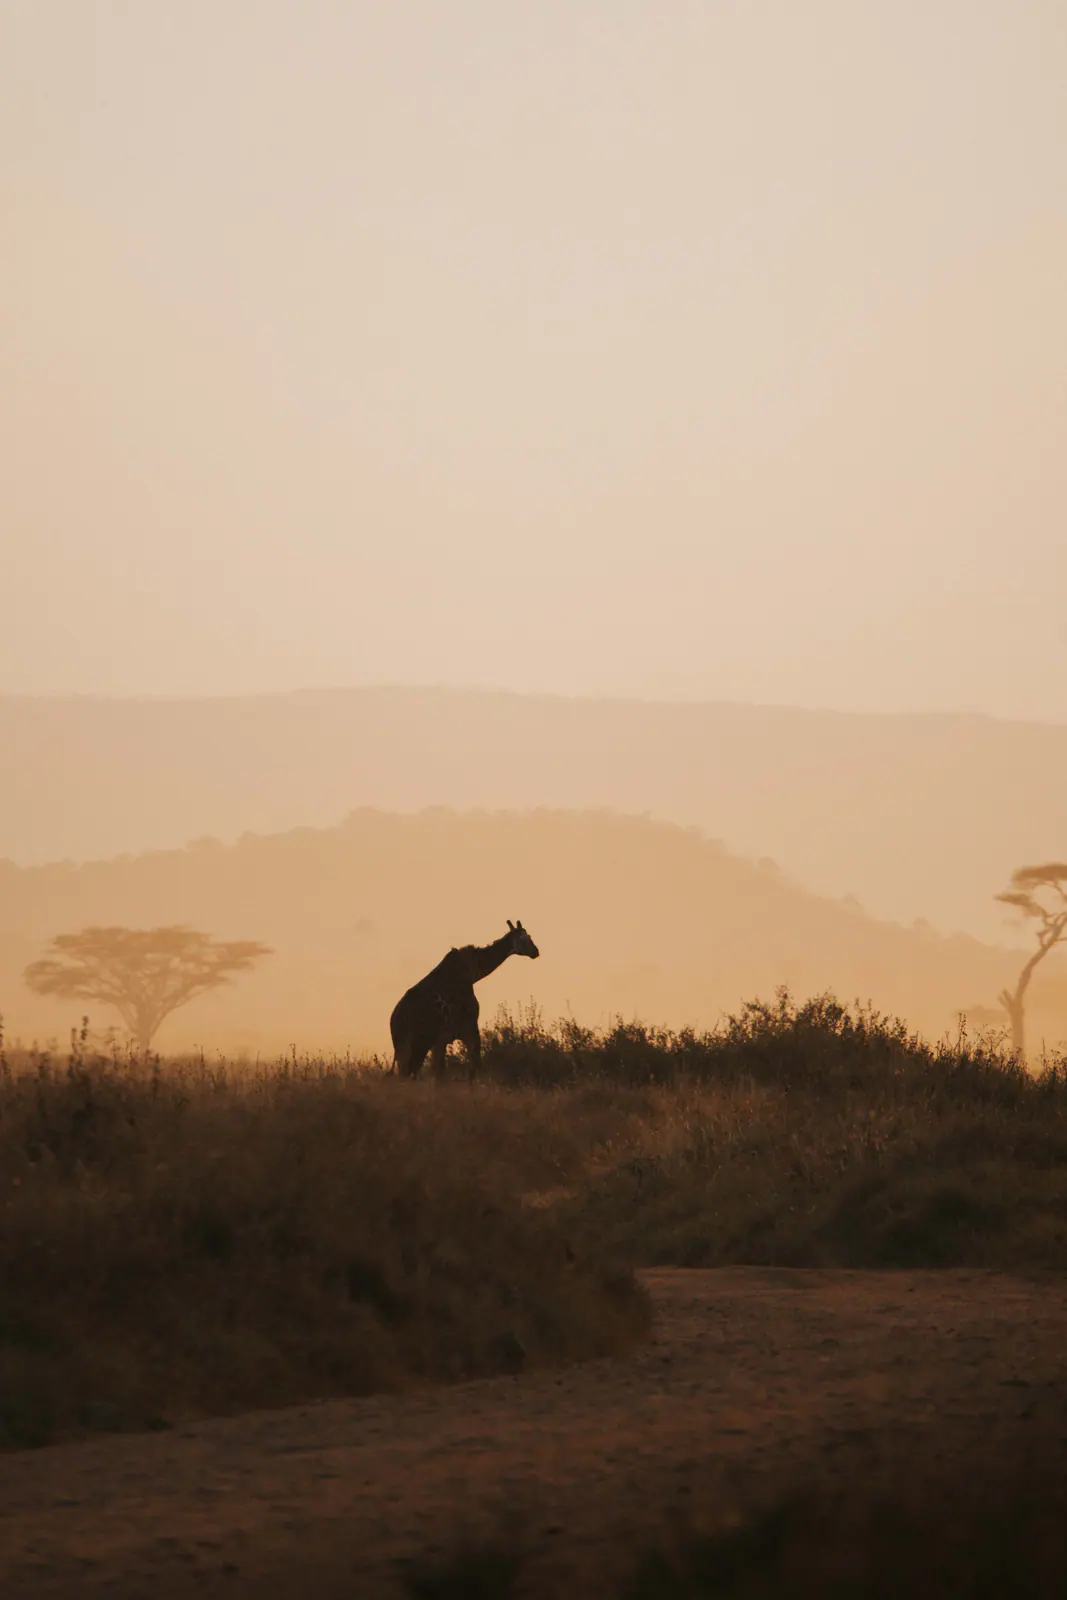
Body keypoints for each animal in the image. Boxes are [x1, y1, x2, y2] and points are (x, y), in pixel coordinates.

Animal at [390, 920, 540, 1081]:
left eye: (529, 936)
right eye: (525, 938)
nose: (535, 951)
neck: (473, 973)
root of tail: (394, 1022)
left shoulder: (443, 1039)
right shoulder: (468, 1026)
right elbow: (474, 1066)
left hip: (414, 1046)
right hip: (416, 1044)